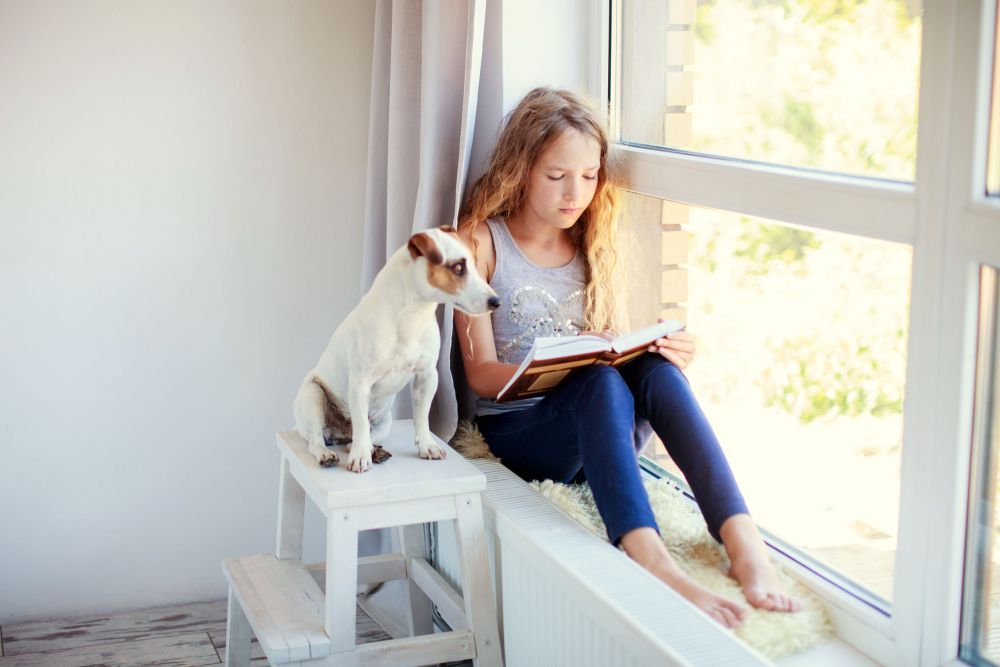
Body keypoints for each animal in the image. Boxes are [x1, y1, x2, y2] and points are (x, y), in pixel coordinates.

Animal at [294, 227, 500, 472]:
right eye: (458, 267)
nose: (496, 301)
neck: (411, 317)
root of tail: (339, 434)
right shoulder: (360, 382)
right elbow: (361, 424)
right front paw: (360, 457)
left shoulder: (427, 376)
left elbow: (422, 417)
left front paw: (427, 446)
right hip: (313, 395)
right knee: (319, 439)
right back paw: (329, 453)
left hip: (384, 421)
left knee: (363, 437)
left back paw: (373, 450)